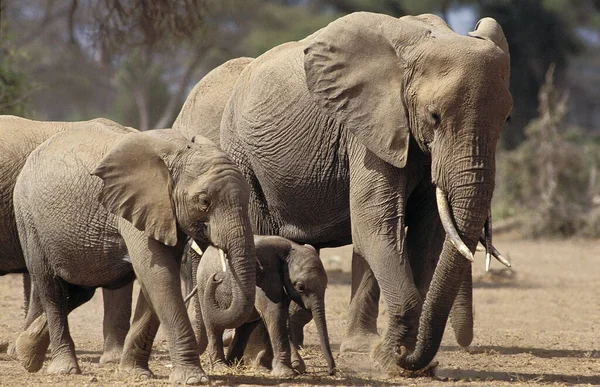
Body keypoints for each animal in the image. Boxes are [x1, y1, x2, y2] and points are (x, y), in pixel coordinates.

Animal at [192, 235, 336, 378]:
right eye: (301, 287)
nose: (331, 372)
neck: (290, 249)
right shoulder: (262, 280)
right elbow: (274, 313)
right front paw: (286, 373)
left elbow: (282, 316)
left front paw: (285, 368)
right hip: (203, 286)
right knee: (214, 327)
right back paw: (221, 367)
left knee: (245, 327)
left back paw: (235, 363)